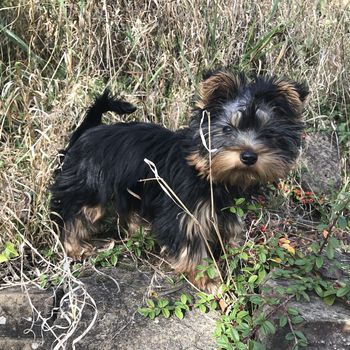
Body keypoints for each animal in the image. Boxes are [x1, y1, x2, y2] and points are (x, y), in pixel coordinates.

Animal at [50, 70, 308, 292]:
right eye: (227, 129)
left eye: (268, 134)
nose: (248, 156)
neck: (208, 173)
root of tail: (87, 131)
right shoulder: (185, 213)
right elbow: (191, 247)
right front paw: (209, 280)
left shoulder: (226, 209)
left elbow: (230, 232)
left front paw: (235, 256)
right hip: (90, 187)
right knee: (75, 214)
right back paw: (76, 247)